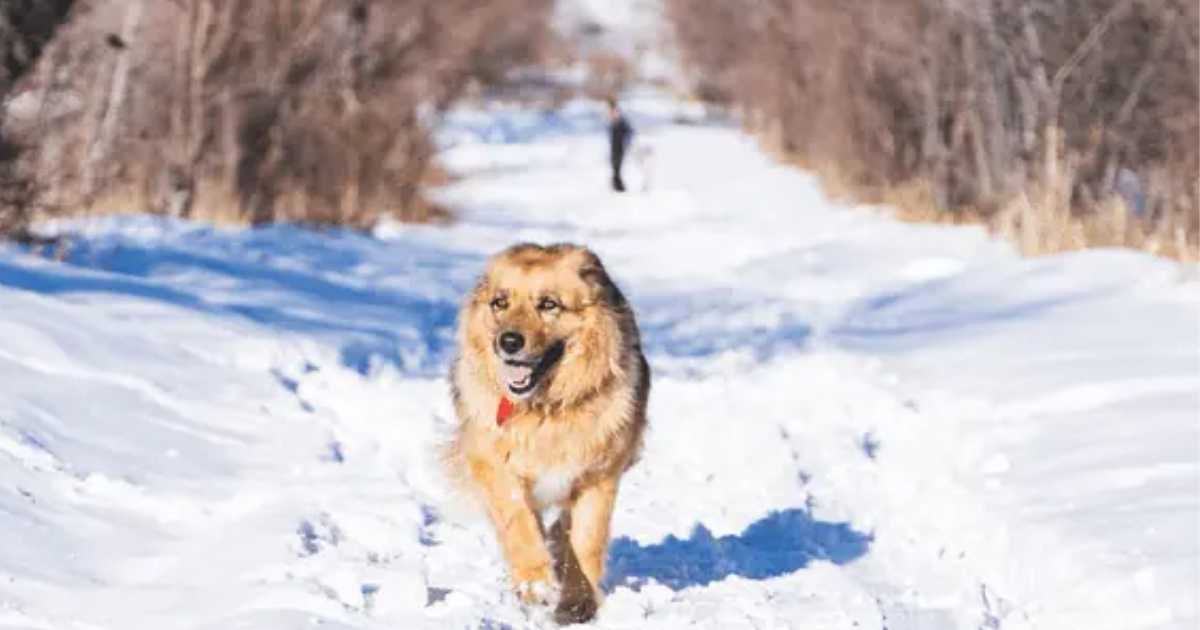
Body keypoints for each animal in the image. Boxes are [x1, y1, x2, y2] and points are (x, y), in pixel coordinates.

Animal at [444, 243, 648, 619]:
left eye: (549, 304)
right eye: (500, 302)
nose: (508, 341)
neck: (544, 409)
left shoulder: (599, 476)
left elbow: (587, 540)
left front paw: (577, 603)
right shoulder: (495, 466)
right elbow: (518, 523)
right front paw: (536, 584)